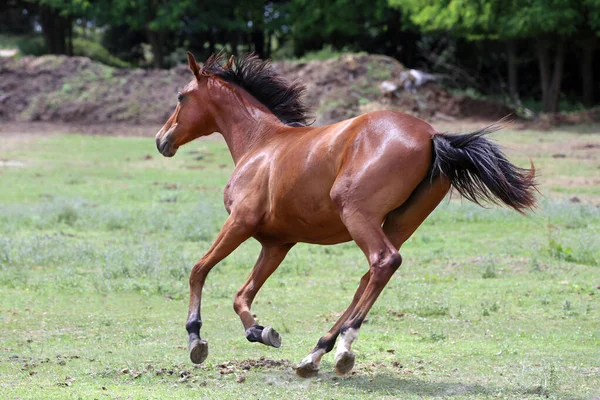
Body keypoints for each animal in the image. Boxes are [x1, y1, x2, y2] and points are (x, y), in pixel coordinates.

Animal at [156, 51, 540, 376]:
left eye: (180, 97)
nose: (161, 140)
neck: (260, 143)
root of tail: (433, 137)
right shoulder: (277, 243)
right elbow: (242, 295)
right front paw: (260, 331)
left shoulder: (240, 222)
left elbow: (199, 270)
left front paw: (196, 339)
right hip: (398, 223)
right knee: (368, 277)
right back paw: (316, 353)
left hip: (356, 214)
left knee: (384, 262)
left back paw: (343, 347)